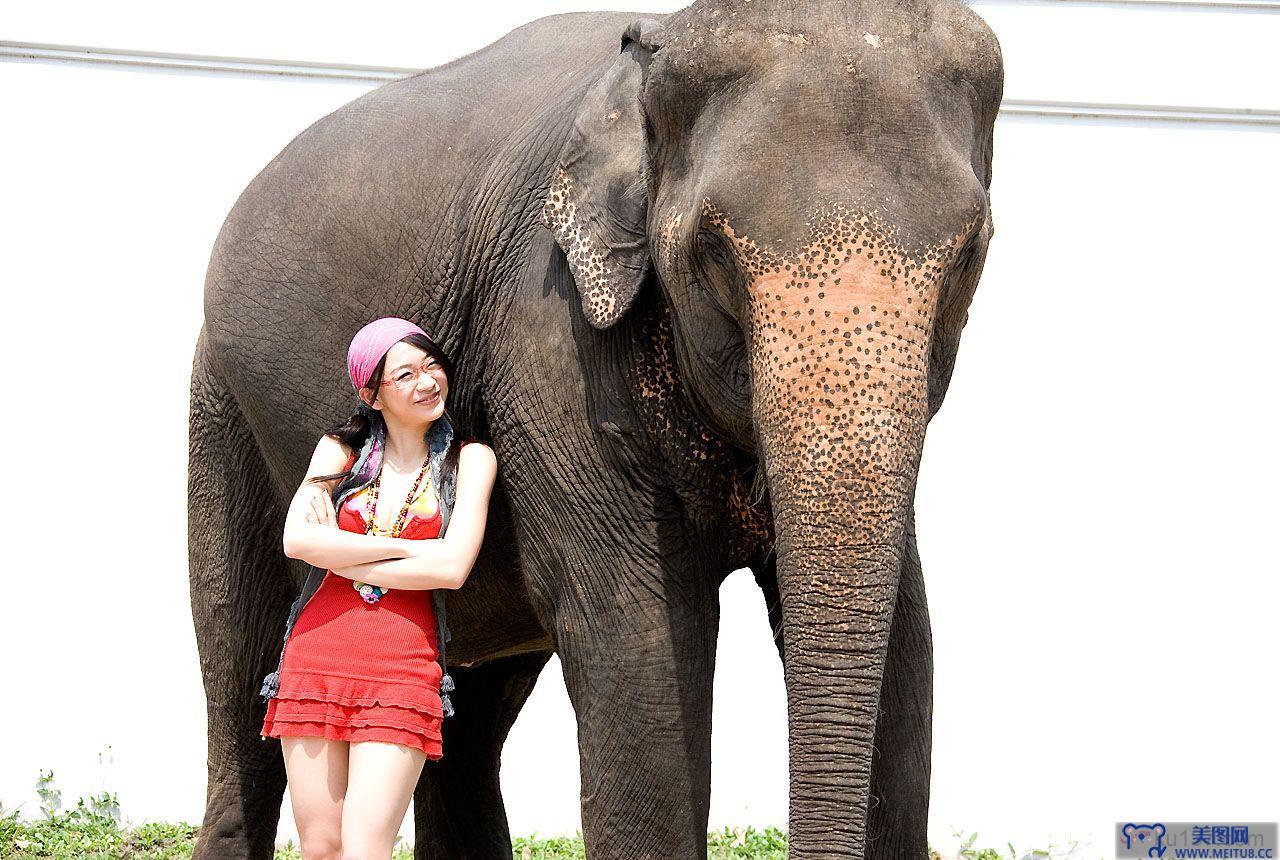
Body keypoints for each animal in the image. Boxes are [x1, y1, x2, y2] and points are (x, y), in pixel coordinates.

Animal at [186, 0, 998, 854]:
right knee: (240, 663)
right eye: (712, 251)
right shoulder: (550, 335)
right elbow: (638, 639)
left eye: (970, 253)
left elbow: (909, 641)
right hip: (222, 407)